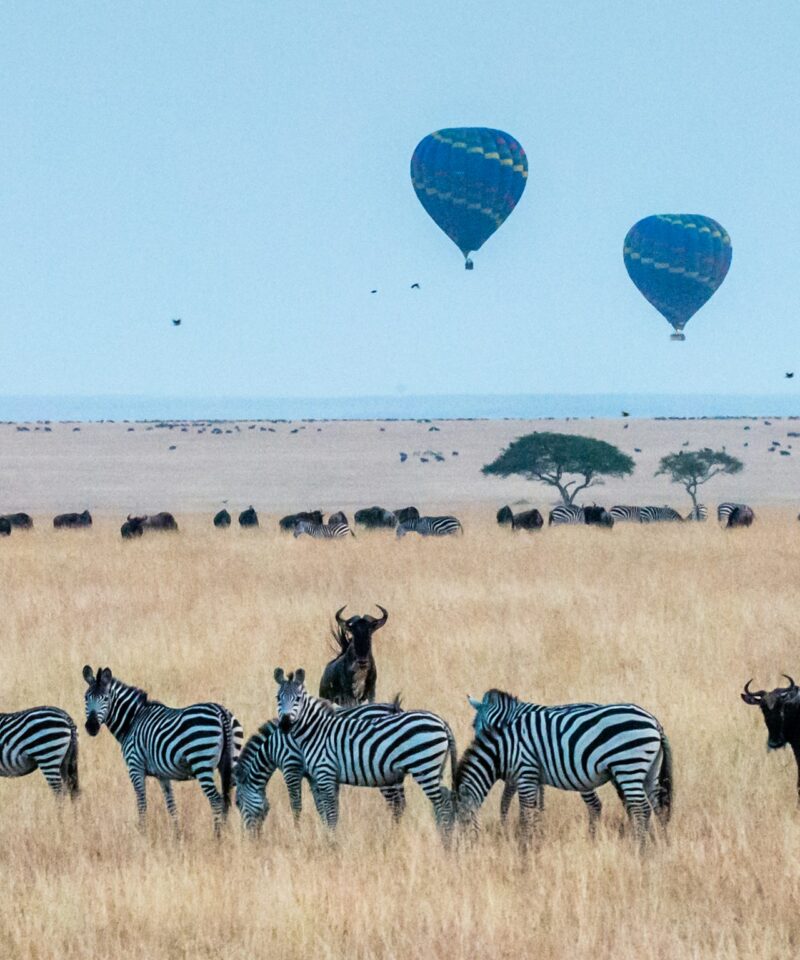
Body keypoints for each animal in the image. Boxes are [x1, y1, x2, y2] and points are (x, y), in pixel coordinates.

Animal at [83, 668, 244, 832]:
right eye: (86, 698)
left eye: (106, 698)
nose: (91, 726)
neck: (132, 720)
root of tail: (221, 712)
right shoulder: (163, 775)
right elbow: (171, 806)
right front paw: (177, 834)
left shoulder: (135, 767)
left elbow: (142, 803)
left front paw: (142, 832)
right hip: (232, 762)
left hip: (201, 762)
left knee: (217, 800)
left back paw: (217, 835)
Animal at [231, 696, 406, 832]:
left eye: (238, 804)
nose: (248, 838)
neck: (274, 745)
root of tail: (393, 708)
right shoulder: (313, 774)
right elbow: (321, 806)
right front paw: (326, 830)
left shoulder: (291, 767)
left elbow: (296, 805)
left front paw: (297, 832)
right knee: (401, 803)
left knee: (396, 804)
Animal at [274, 668, 456, 832]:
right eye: (278, 698)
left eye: (298, 698)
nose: (285, 724)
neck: (316, 730)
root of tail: (442, 722)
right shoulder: (321, 776)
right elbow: (327, 810)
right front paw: (327, 835)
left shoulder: (306, 770)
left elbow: (308, 808)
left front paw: (317, 837)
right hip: (425, 770)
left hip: (422, 767)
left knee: (438, 804)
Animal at [454, 688, 672, 844]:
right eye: (474, 726)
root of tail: (654, 721)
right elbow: (529, 803)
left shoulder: (524, 769)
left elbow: (512, 803)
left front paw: (516, 832)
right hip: (645, 771)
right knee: (655, 806)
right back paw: (659, 842)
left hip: (625, 766)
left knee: (628, 806)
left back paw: (638, 844)